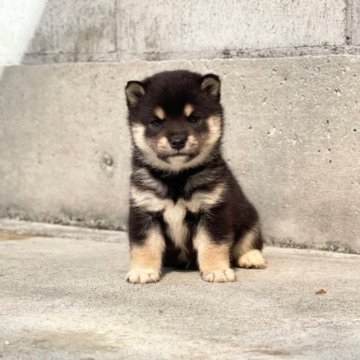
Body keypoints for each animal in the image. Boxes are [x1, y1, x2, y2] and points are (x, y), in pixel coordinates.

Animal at [125, 70, 266, 284]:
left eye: (193, 119)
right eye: (156, 122)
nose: (177, 141)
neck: (176, 178)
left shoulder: (213, 209)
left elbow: (213, 244)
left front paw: (217, 270)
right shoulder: (144, 209)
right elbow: (145, 245)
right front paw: (143, 270)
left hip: (249, 218)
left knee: (247, 242)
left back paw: (251, 257)